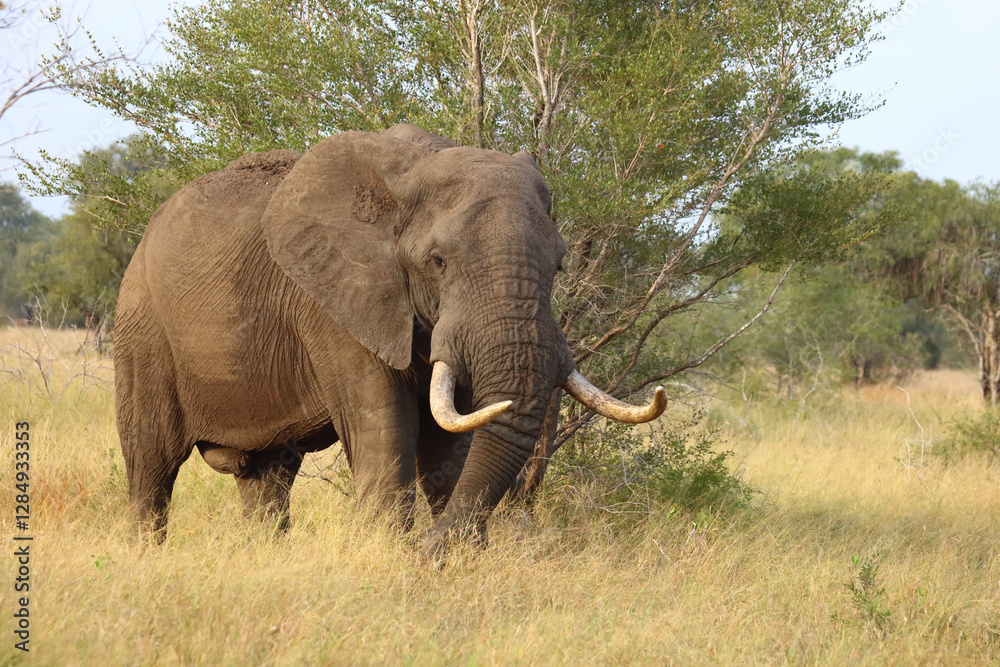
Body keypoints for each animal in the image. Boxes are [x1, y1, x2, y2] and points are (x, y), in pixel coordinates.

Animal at [114, 123, 666, 556]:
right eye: (437, 261)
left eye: (560, 264)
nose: (430, 551)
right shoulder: (335, 303)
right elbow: (386, 430)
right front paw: (395, 557)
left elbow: (449, 444)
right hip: (142, 326)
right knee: (151, 464)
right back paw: (144, 556)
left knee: (268, 476)